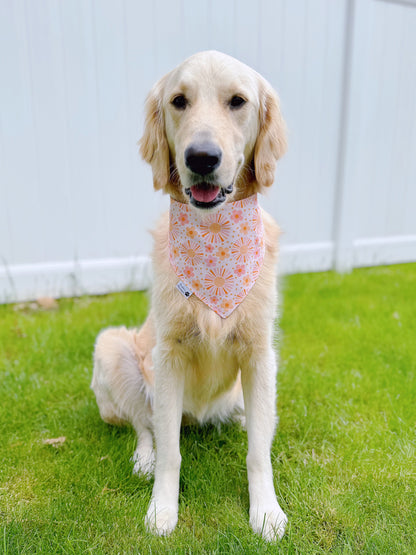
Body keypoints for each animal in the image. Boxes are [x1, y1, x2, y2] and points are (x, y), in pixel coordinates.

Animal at [90, 51, 286, 544]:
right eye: (179, 101)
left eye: (237, 101)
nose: (201, 157)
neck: (214, 232)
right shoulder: (169, 354)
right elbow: (169, 450)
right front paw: (162, 510)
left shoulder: (260, 353)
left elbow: (258, 451)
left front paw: (266, 511)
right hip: (113, 349)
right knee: (145, 426)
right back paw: (143, 458)